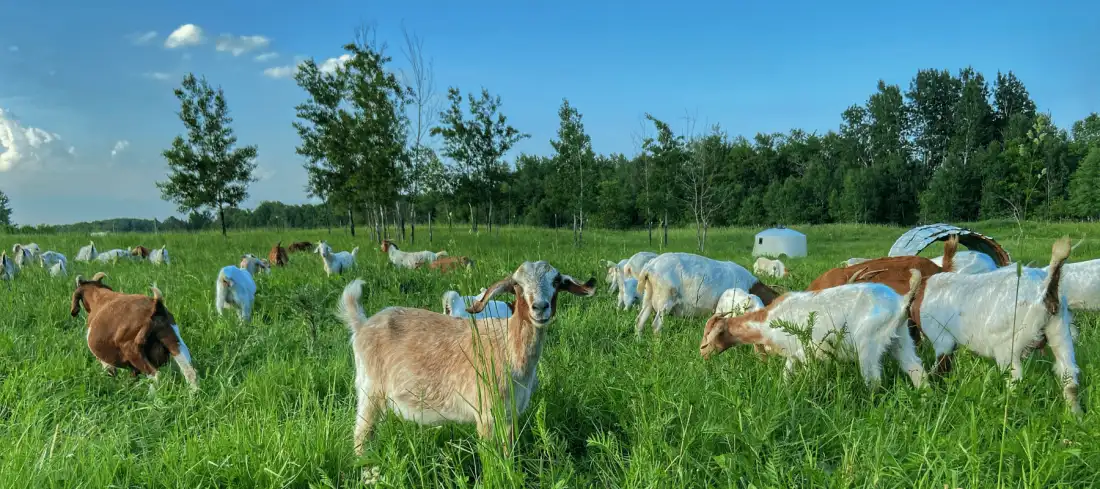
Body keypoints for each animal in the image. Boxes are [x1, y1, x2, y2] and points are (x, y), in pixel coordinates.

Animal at [69, 273, 198, 389]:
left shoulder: (104, 360)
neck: (98, 295)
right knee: (189, 371)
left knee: (155, 375)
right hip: (174, 342)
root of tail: (155, 306)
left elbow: (110, 371)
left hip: (132, 350)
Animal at [338, 261, 596, 457]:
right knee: (361, 434)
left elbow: (508, 452)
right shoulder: (485, 414)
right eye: (517, 285)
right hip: (370, 391)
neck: (509, 348)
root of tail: (362, 325)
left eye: (556, 281)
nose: (540, 307)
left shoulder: (510, 415)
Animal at [701, 270, 926, 389]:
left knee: (874, 380)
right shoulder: (795, 355)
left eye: (710, 337)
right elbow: (788, 372)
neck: (767, 320)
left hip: (868, 344)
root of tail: (902, 301)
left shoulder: (806, 351)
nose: (702, 353)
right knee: (916, 370)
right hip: (900, 339)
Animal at [917, 237, 1081, 413]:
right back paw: (1074, 415)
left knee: (1015, 380)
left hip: (1008, 347)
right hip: (1060, 333)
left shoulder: (942, 339)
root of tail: (1046, 289)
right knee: (1069, 379)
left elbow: (940, 367)